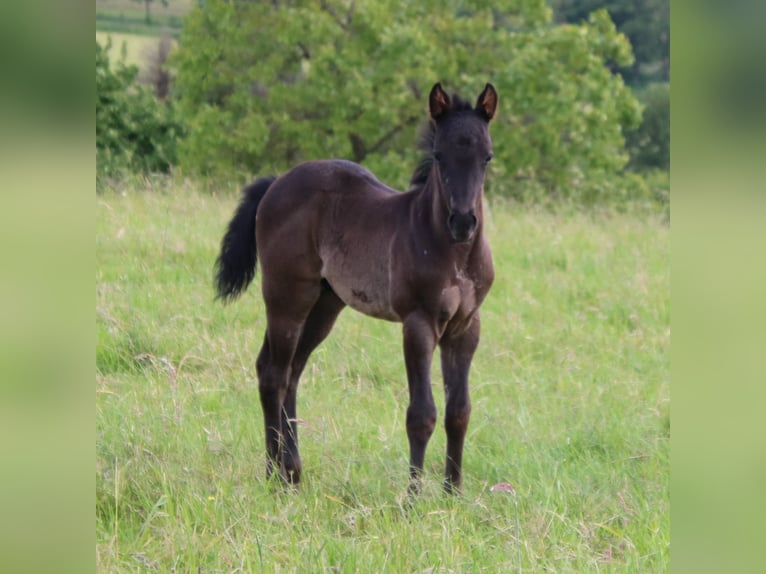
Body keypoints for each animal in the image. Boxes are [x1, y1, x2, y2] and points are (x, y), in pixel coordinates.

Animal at [216, 82, 500, 496]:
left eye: (487, 157)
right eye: (438, 155)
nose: (463, 221)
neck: (453, 251)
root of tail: (276, 184)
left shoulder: (466, 327)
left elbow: (459, 411)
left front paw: (453, 493)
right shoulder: (418, 323)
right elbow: (422, 414)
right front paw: (412, 498)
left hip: (325, 305)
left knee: (291, 372)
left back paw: (291, 471)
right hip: (287, 296)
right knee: (273, 373)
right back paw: (274, 475)